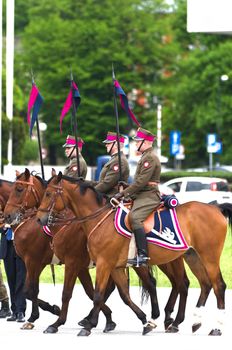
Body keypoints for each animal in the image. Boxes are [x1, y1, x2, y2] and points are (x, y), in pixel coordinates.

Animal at [2, 169, 212, 334]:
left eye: (19, 189)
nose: (8, 216)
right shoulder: (79, 265)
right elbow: (92, 291)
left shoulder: (54, 262)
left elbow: (49, 291)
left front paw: (50, 317)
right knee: (172, 284)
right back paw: (166, 318)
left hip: (166, 259)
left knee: (176, 284)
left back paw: (169, 319)